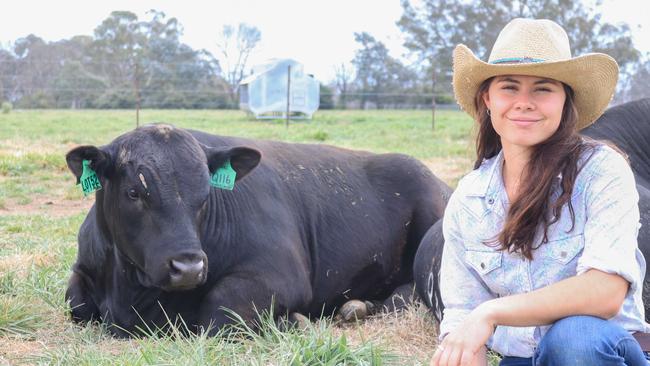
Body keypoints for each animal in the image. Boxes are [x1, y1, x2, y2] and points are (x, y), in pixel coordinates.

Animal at [67, 123, 450, 338]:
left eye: (206, 194)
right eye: (134, 192)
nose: (188, 267)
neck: (129, 295)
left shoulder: (280, 273)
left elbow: (218, 313)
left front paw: (291, 321)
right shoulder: (83, 270)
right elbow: (76, 303)